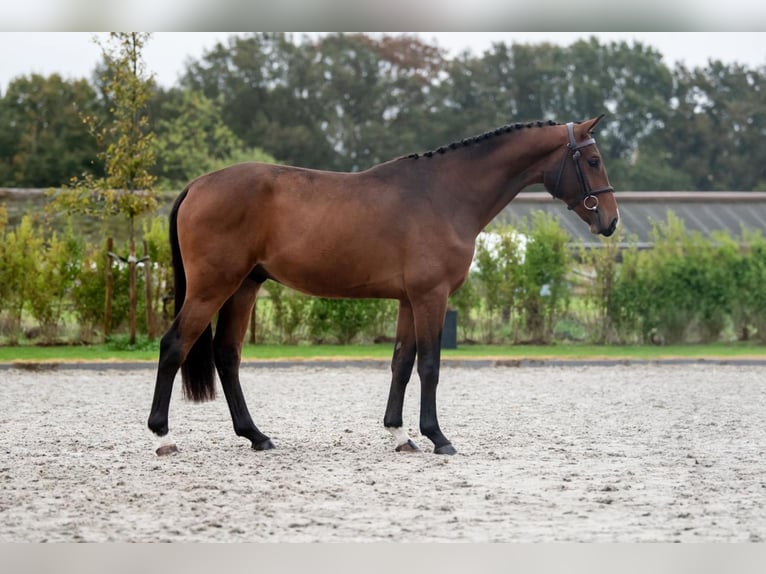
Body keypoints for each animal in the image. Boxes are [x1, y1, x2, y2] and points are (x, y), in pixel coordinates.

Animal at [148, 116, 616, 460]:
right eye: (593, 160)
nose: (609, 220)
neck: (444, 194)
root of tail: (197, 185)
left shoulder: (409, 300)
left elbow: (402, 363)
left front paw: (400, 434)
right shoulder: (431, 297)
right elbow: (430, 365)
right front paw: (438, 437)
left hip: (244, 287)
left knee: (227, 355)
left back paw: (256, 436)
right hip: (212, 287)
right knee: (174, 345)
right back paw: (163, 437)